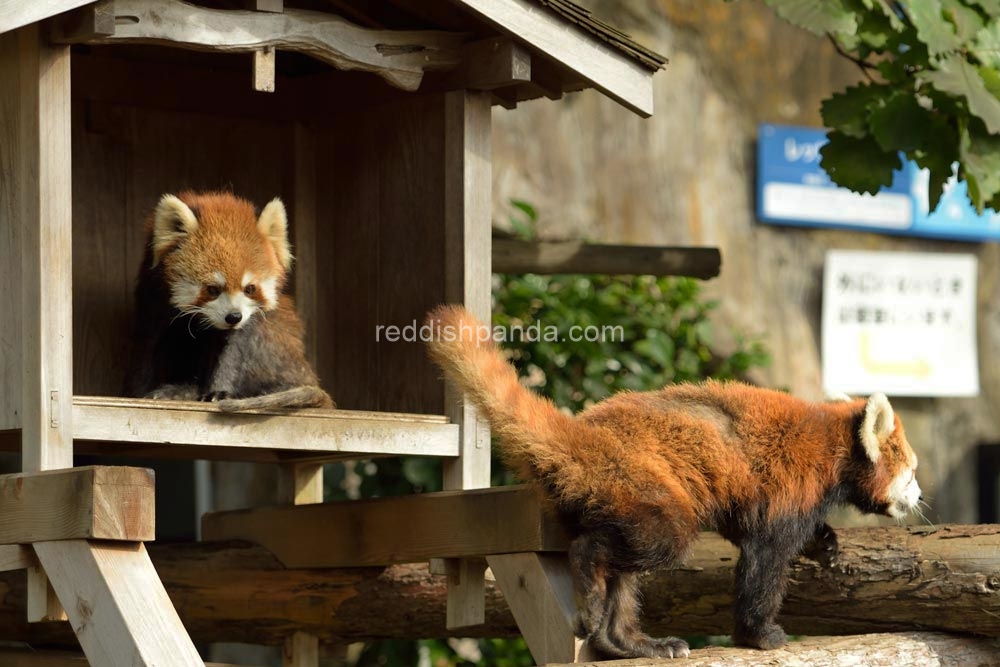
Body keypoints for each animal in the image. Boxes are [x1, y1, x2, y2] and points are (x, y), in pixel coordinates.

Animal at [422, 306, 920, 660]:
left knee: (625, 576)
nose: (917, 495)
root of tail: (582, 433)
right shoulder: (790, 483)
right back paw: (592, 582)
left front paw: (827, 544)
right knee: (643, 544)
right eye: (912, 471)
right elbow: (765, 557)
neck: (834, 445)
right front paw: (761, 634)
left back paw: (628, 642)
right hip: (641, 483)